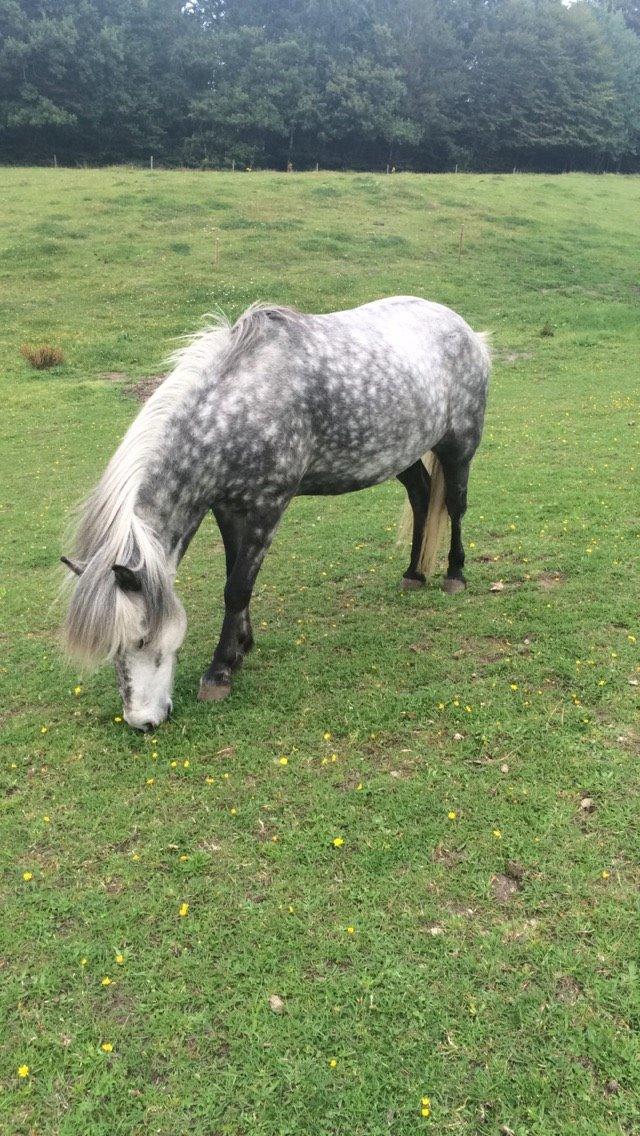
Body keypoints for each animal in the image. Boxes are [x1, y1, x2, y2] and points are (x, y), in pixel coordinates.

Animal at [61, 297, 491, 731]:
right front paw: (241, 646)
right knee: (421, 498)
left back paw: (455, 575)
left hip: (459, 447)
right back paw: (414, 574)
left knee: (455, 506)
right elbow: (234, 574)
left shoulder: (268, 506)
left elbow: (237, 587)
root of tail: (466, 329)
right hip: (401, 454)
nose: (142, 722)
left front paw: (220, 671)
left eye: (142, 638)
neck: (239, 407)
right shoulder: (227, 508)